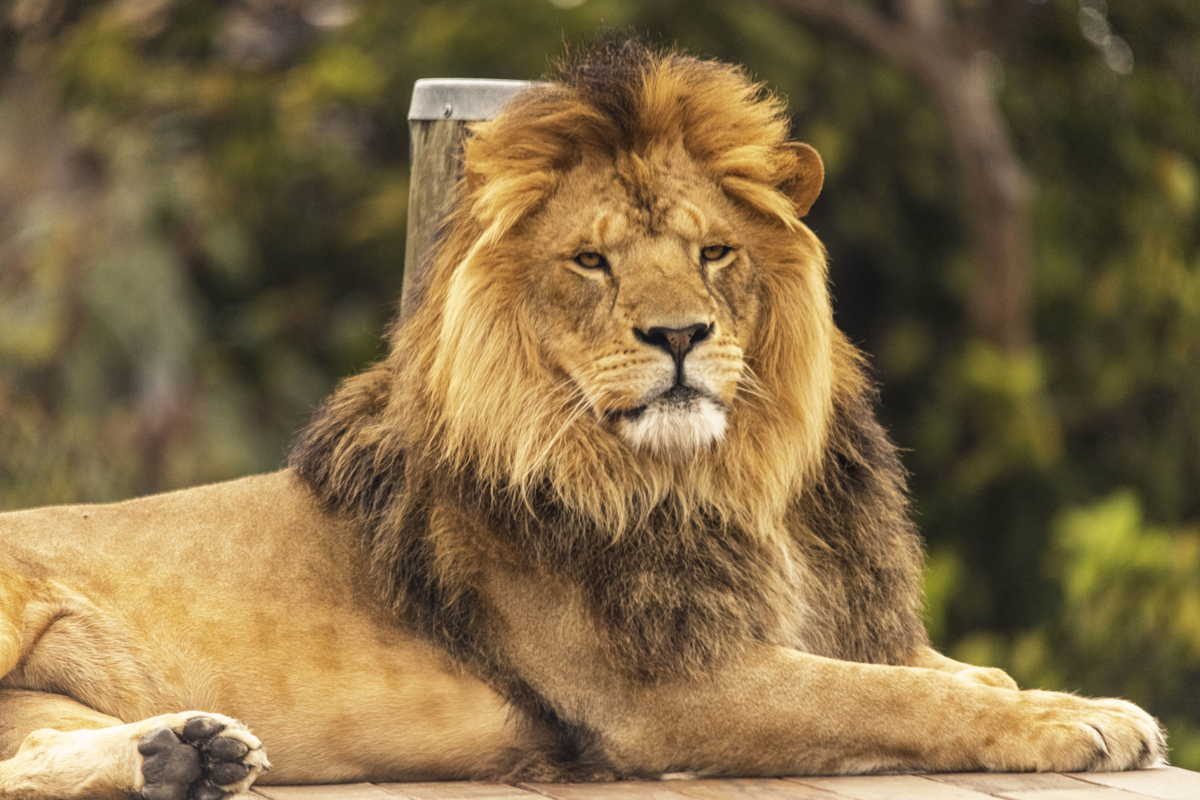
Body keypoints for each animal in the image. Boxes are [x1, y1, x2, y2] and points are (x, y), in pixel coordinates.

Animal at [0, 39, 1166, 800]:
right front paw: (1072, 719)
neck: (727, 477)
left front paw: (1071, 697)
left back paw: (182, 753)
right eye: (593, 261)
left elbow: (946, 669)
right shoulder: (667, 691)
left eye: (713, 252)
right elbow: (895, 700)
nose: (680, 334)